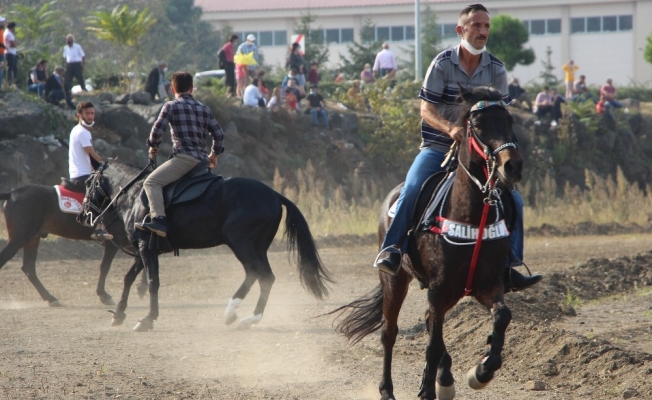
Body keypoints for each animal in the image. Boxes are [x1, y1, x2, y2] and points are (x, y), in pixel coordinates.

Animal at [0, 185, 139, 306]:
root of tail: (12, 193)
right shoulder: (113, 243)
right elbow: (105, 267)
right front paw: (103, 295)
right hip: (19, 238)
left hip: (32, 239)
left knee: (28, 268)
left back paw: (50, 298)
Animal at [79, 162, 332, 332]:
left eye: (88, 183)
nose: (83, 215)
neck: (134, 196)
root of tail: (274, 194)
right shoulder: (144, 250)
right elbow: (129, 278)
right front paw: (119, 313)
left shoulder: (146, 248)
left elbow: (152, 282)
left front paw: (147, 319)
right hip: (258, 247)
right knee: (263, 277)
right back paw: (248, 318)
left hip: (241, 243)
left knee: (258, 273)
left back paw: (234, 313)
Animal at [332, 87, 524, 400]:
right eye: (478, 125)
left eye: (509, 121)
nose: (512, 165)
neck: (472, 217)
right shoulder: (439, 289)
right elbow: (433, 345)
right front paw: (430, 389)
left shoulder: (488, 285)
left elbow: (502, 317)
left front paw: (482, 370)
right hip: (395, 279)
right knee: (390, 332)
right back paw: (388, 390)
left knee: (431, 322)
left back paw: (442, 380)